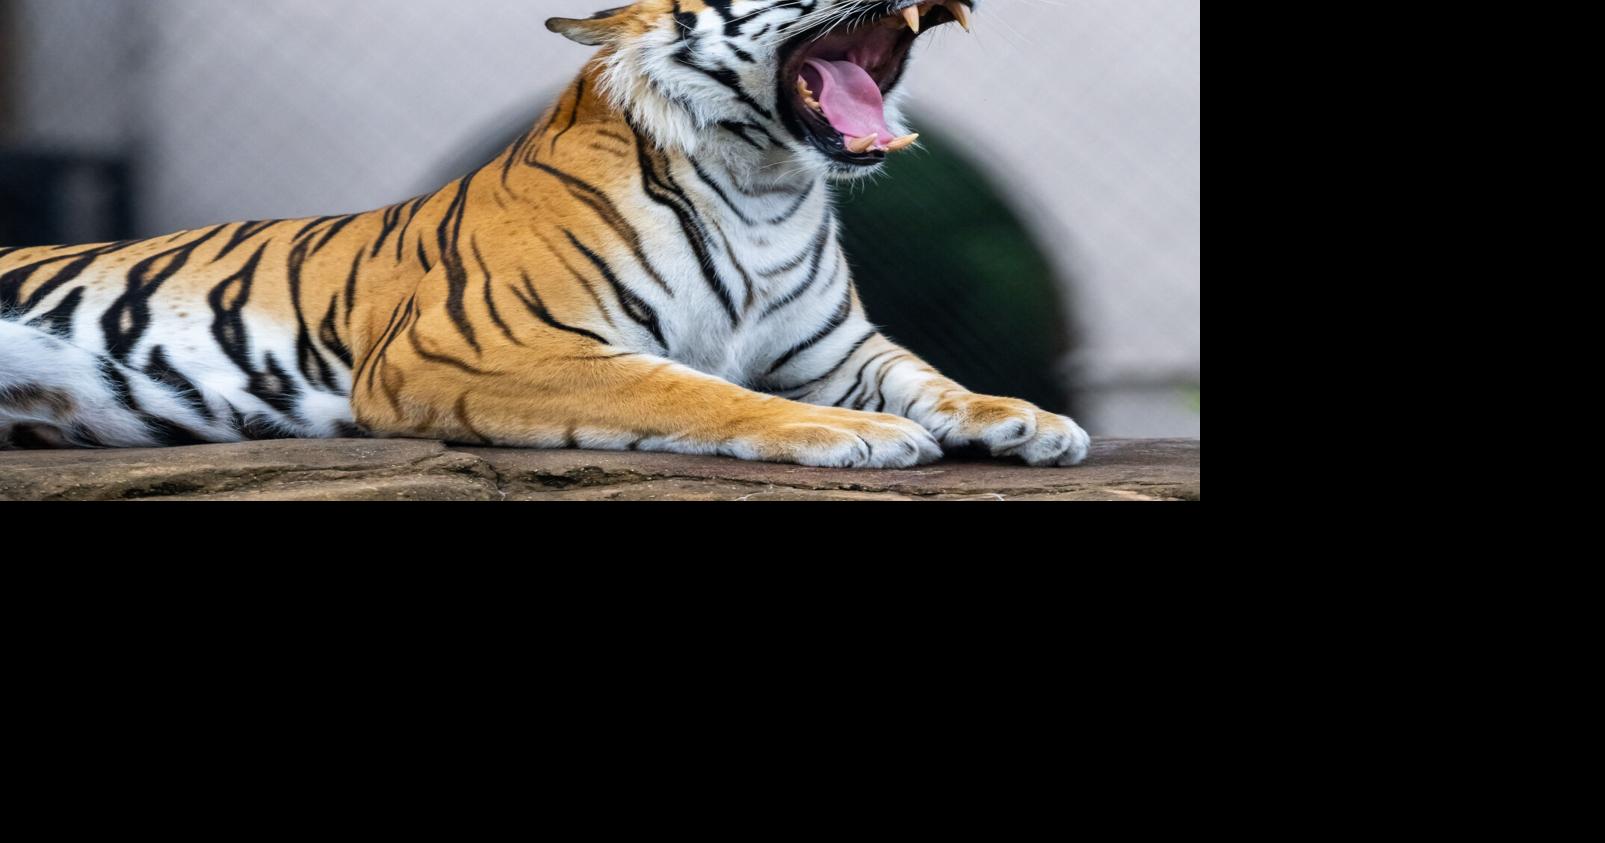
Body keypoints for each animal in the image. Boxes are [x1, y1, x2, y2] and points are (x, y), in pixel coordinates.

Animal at [0, 0, 1091, 469]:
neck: (767, 187)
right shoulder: (480, 347)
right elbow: (687, 388)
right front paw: (858, 436)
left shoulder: (834, 349)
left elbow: (928, 375)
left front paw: (1022, 417)